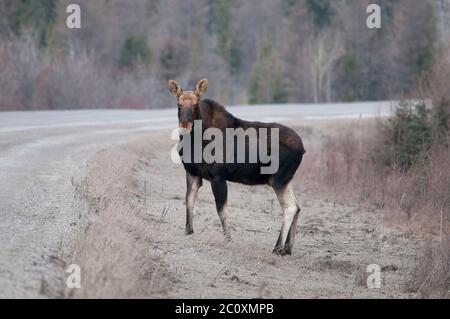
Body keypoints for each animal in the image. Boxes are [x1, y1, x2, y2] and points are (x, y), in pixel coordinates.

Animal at [170, 80, 306, 258]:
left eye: (195, 104)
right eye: (178, 104)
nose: (185, 127)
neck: (194, 141)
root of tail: (302, 149)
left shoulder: (218, 176)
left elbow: (221, 210)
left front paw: (228, 238)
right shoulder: (192, 173)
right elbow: (189, 202)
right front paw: (188, 232)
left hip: (278, 180)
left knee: (290, 208)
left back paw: (277, 248)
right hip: (286, 180)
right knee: (297, 206)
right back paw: (288, 249)